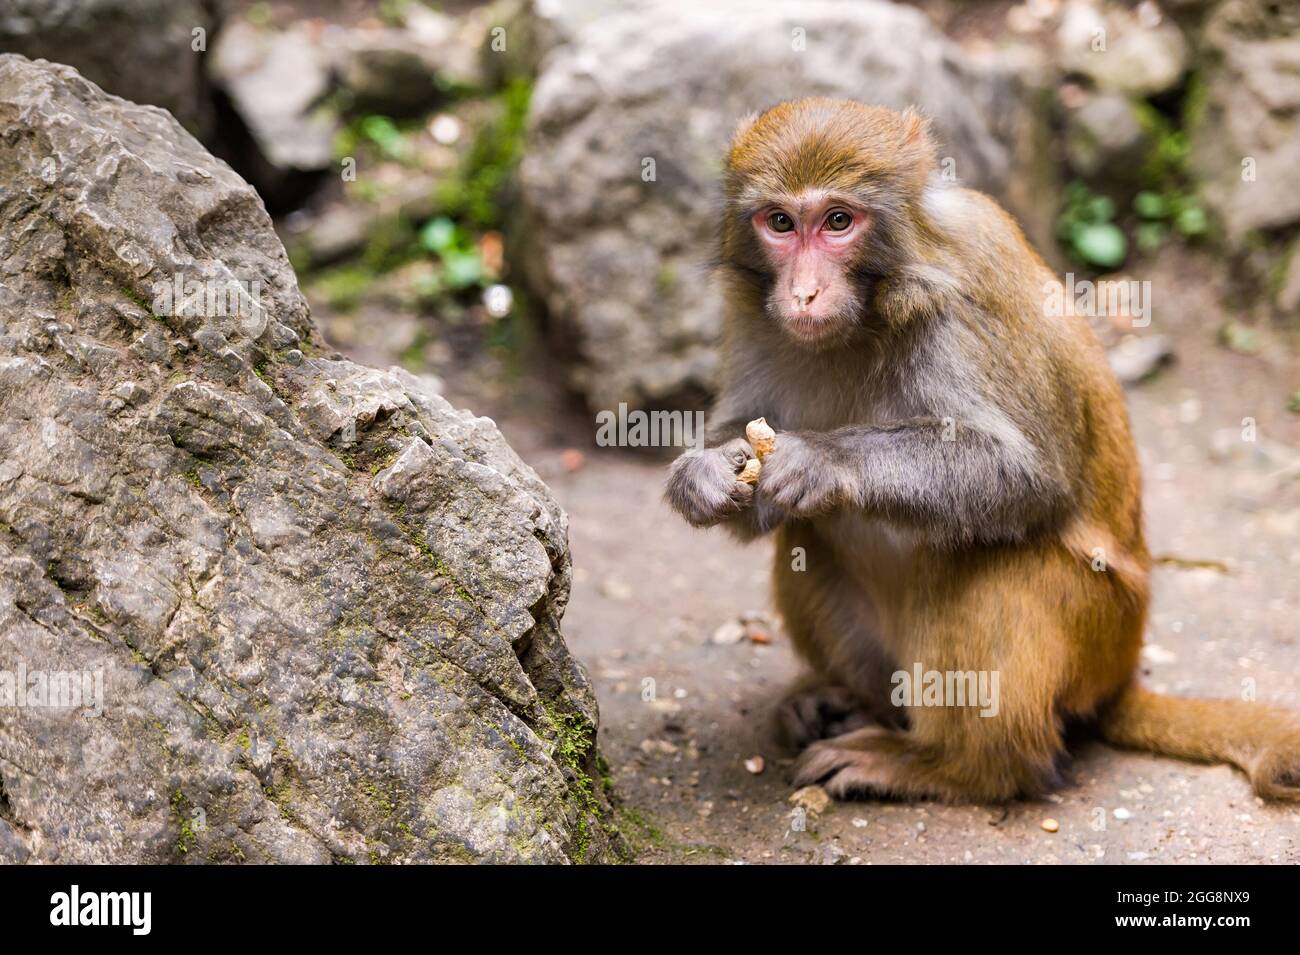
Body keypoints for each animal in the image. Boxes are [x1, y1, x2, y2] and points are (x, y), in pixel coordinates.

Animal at [665, 97, 1300, 803]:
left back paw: (952, 765)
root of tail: (1118, 676)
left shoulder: (963, 301)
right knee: (810, 536)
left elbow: (1025, 476)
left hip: (1094, 631)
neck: (870, 313)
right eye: (780, 222)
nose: (803, 292)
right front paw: (702, 475)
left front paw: (825, 462)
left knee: (974, 557)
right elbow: (748, 467)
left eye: (838, 221)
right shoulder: (750, 312)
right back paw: (847, 701)